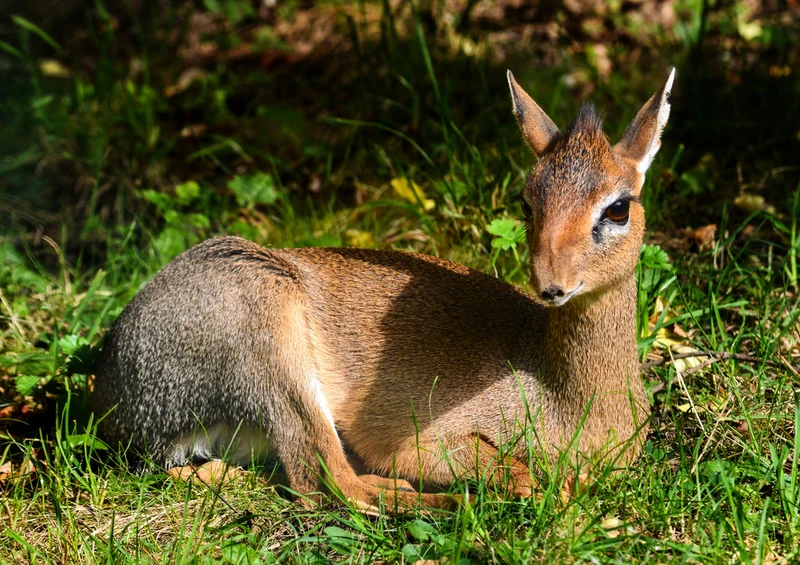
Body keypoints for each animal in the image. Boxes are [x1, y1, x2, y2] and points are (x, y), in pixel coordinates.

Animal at [93, 68, 675, 513]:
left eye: (617, 207)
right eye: (526, 201)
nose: (551, 285)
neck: (569, 402)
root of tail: (120, 396)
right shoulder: (422, 441)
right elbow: (519, 473)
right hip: (274, 350)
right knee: (329, 486)